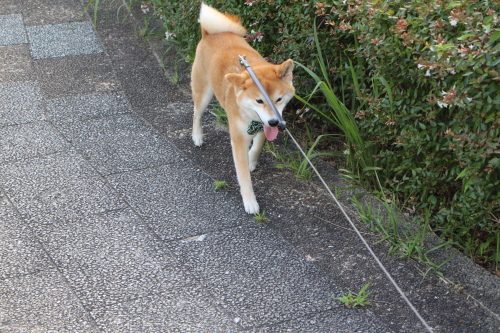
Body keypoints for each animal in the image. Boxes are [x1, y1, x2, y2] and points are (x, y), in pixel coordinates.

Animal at [190, 3, 292, 213]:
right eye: (259, 101)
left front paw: (252, 159)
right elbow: (244, 176)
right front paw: (250, 201)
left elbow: (259, 145)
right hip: (204, 93)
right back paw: (197, 136)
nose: (274, 122)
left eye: (278, 99)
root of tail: (211, 34)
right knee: (197, 113)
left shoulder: (263, 126)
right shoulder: (238, 139)